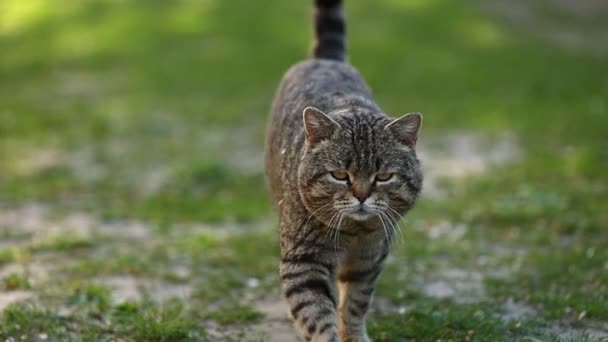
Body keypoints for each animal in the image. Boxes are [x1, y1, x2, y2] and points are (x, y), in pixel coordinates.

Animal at [266, 1, 422, 340]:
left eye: (383, 176)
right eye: (339, 175)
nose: (361, 196)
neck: (354, 232)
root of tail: (325, 59)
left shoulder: (370, 257)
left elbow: (355, 303)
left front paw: (354, 332)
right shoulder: (304, 262)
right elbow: (316, 316)